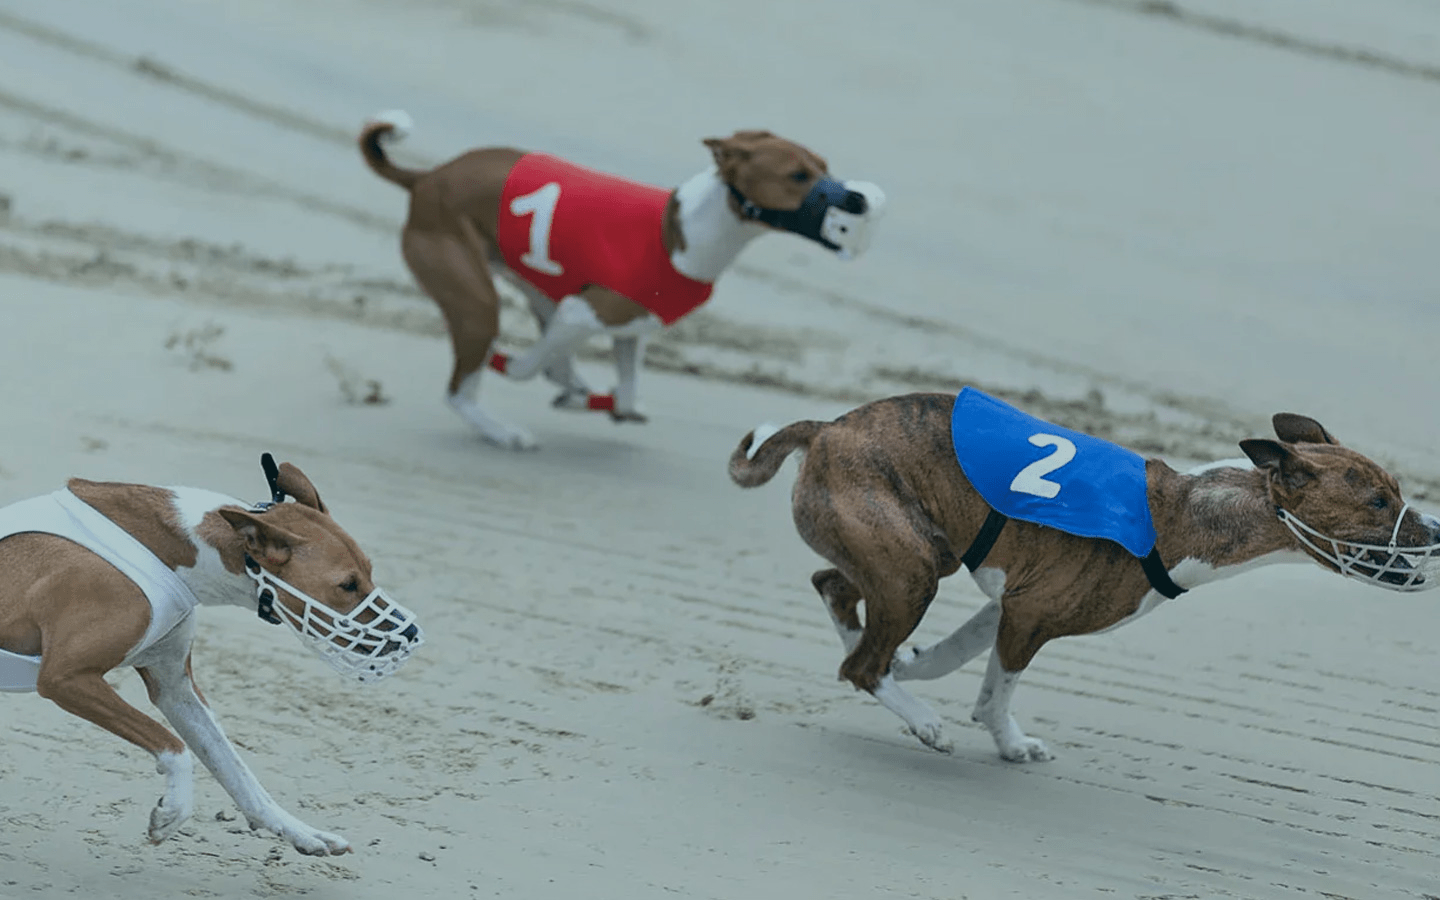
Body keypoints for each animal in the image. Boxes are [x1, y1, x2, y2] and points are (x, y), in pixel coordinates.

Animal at [0, 455, 423, 858]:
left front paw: (301, 832)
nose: (410, 633)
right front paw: (172, 811)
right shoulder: (64, 677)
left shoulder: (175, 688)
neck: (175, 548)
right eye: (346, 585)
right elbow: (174, 747)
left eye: (369, 572)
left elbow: (237, 772)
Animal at [354, 112, 881, 449]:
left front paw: (596, 398)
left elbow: (625, 389)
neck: (677, 235)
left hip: (536, 283)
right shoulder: (582, 311)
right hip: (479, 304)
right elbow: (525, 368)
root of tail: (427, 179)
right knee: (459, 389)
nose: (857, 199)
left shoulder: (629, 327)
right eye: (797, 175)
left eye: (824, 165)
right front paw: (529, 371)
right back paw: (503, 431)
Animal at [731, 388, 1440, 760]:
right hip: (913, 568)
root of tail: (825, 428)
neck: (1191, 515)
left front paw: (925, 670)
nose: (1435, 531)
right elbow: (996, 692)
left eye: (1397, 492)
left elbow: (954, 658)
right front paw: (1006, 739)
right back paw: (922, 720)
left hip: (911, 556)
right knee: (859, 665)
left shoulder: (1012, 602)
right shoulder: (1029, 616)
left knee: (834, 594)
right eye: (1379, 501)